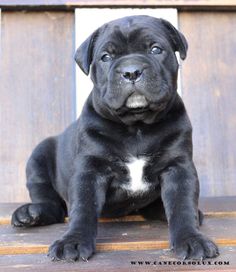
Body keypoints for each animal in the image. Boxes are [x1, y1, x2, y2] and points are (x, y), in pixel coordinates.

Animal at [11, 15, 218, 262]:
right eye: (106, 57)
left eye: (156, 49)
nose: (131, 71)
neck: (136, 127)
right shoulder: (89, 170)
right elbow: (83, 208)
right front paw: (73, 241)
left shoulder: (179, 167)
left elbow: (182, 205)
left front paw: (191, 239)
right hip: (38, 157)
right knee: (51, 202)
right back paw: (31, 213)